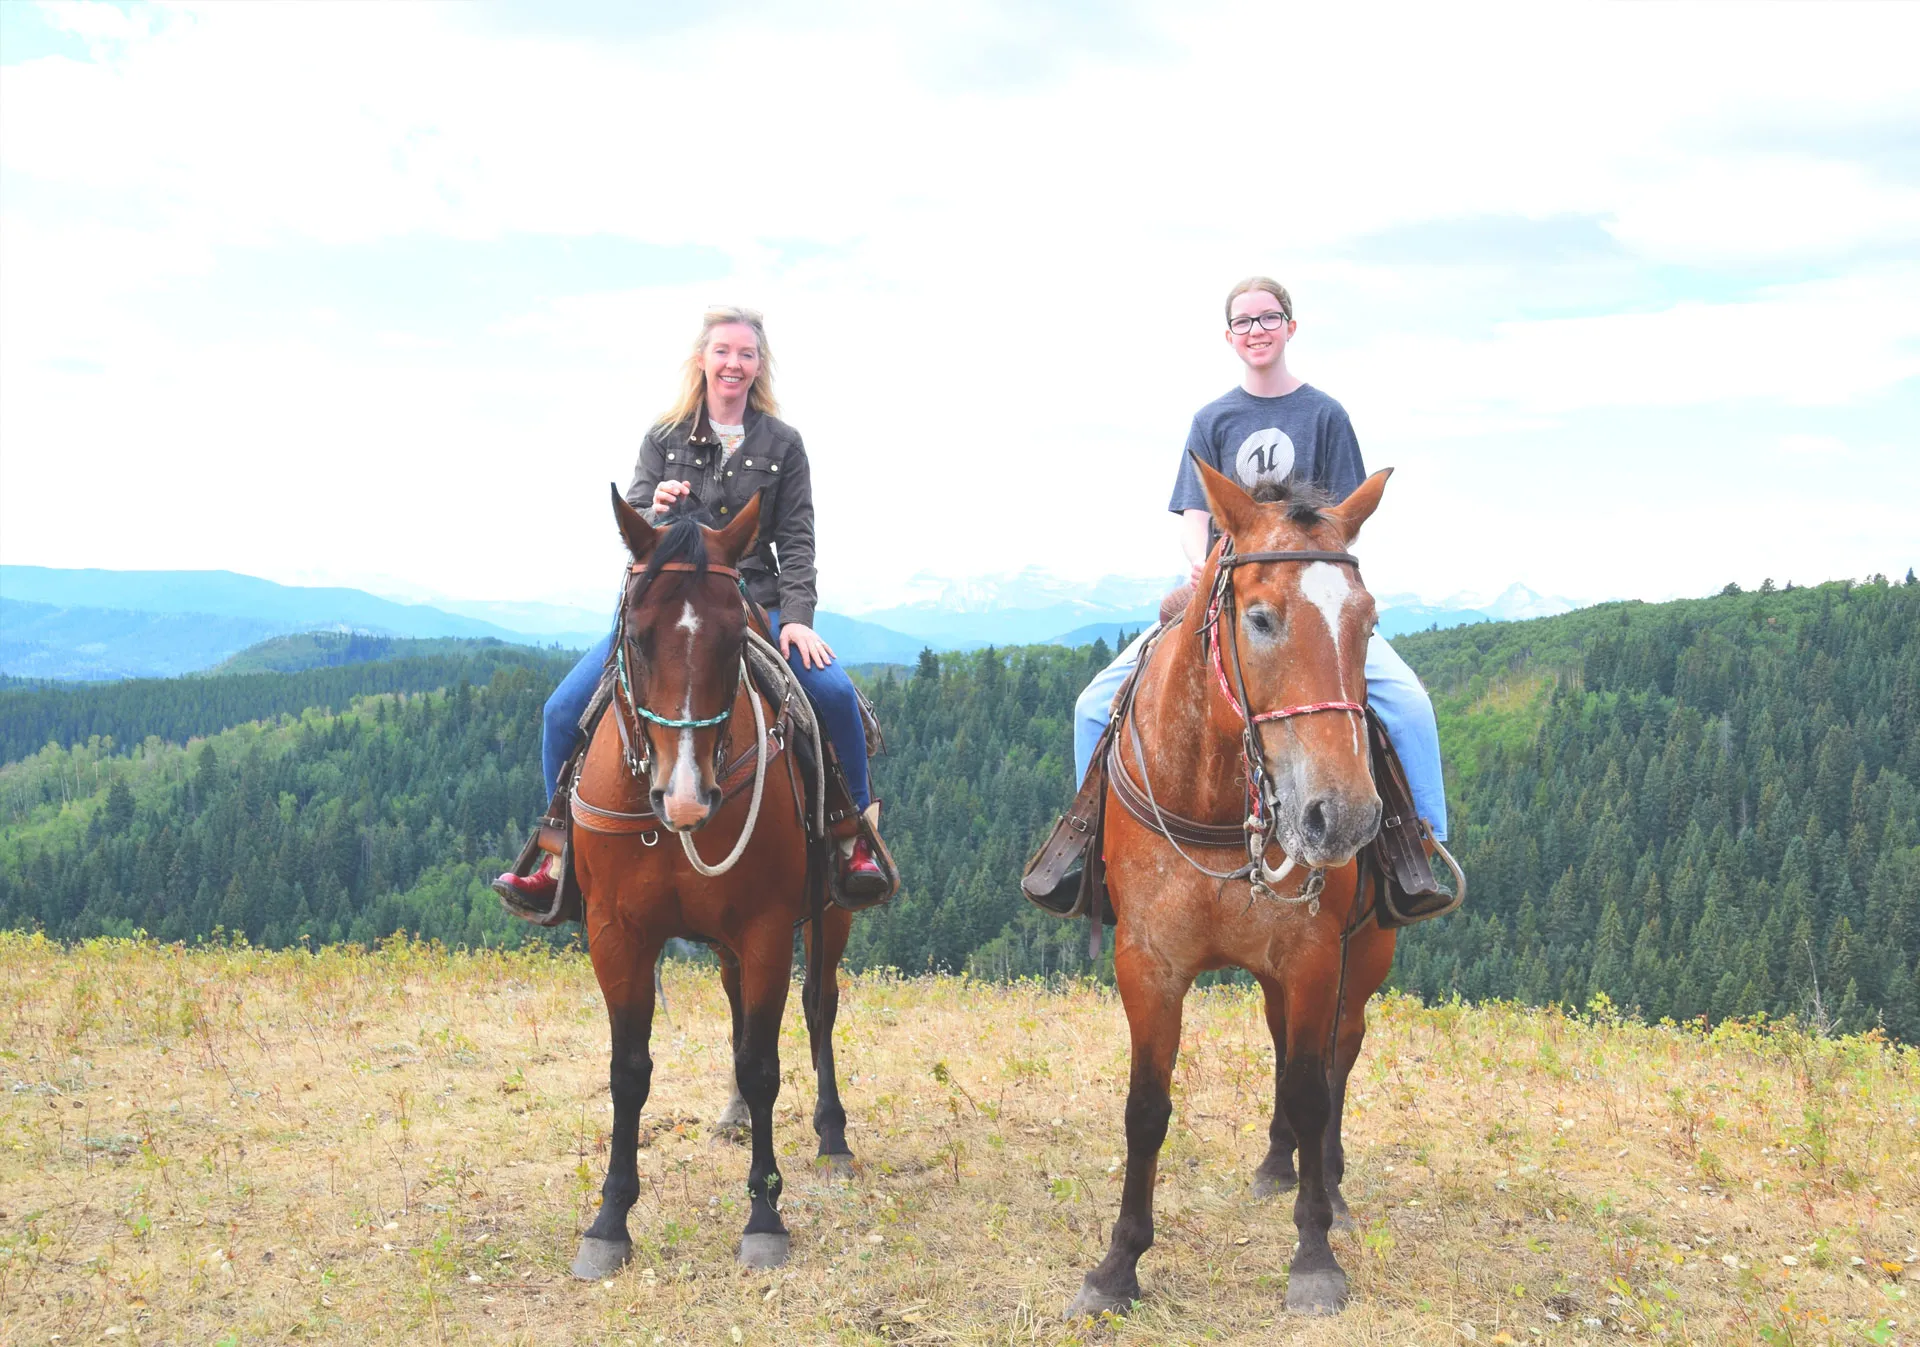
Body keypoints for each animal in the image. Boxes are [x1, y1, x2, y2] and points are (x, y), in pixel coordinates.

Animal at [564, 491, 860, 1281]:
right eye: (637, 637)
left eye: (736, 640)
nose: (687, 797)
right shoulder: (616, 934)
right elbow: (629, 1070)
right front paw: (609, 1221)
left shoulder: (766, 928)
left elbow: (763, 1063)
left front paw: (764, 1215)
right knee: (735, 1009)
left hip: (830, 916)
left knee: (819, 1009)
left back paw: (833, 1137)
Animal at [1075, 462, 1405, 1320]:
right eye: (1259, 617)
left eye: (1368, 620)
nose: (1343, 815)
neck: (1219, 800)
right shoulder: (1147, 962)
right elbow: (1146, 1106)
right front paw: (1118, 1264)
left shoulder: (1315, 954)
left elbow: (1314, 1088)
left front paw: (1315, 1255)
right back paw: (1277, 1165)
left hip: (1365, 956)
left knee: (1337, 1053)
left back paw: (1330, 1188)